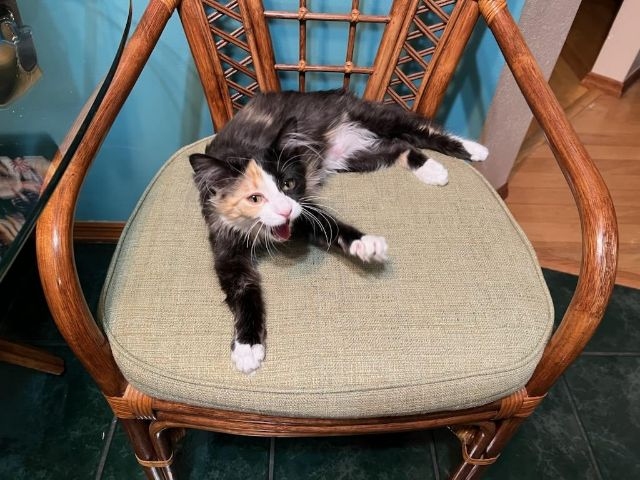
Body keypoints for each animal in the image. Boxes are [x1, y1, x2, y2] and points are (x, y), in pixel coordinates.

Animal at [190, 90, 490, 376]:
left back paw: (471, 150)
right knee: (399, 146)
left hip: (367, 117)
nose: (285, 211)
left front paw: (367, 244)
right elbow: (242, 290)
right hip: (355, 158)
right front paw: (247, 347)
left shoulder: (304, 208)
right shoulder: (223, 240)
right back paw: (431, 169)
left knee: (417, 131)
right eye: (255, 198)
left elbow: (330, 225)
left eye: (289, 184)